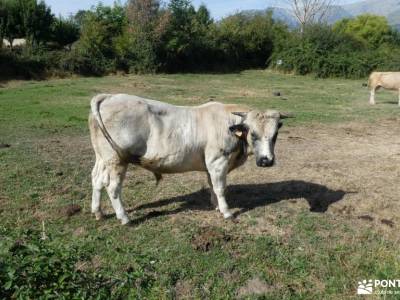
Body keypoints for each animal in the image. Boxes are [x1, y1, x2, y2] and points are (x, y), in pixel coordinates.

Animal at [89, 93, 288, 223]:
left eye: (275, 134)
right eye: (253, 134)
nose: (266, 160)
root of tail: (109, 96)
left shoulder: (210, 165)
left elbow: (212, 186)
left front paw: (216, 206)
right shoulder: (218, 162)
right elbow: (220, 188)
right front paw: (226, 212)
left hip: (102, 158)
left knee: (97, 180)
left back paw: (98, 212)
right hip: (116, 160)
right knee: (112, 187)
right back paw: (124, 218)